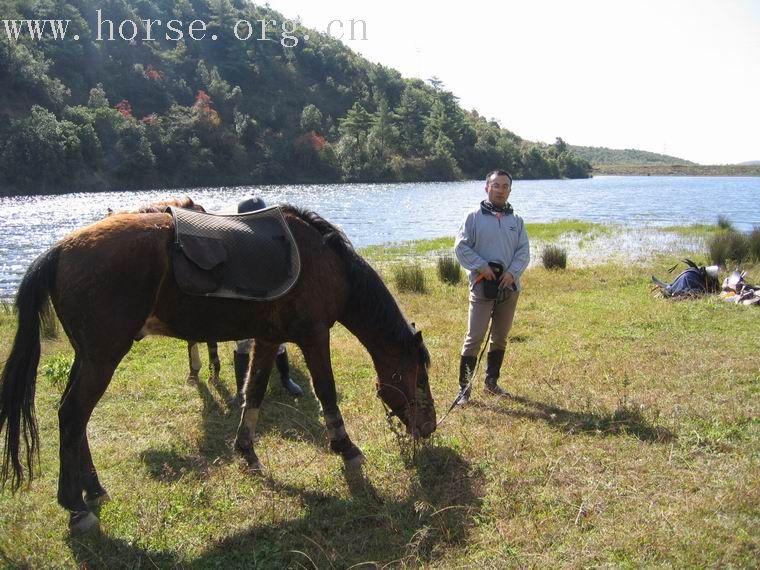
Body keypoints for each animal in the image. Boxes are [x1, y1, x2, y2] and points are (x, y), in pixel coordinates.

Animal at [0, 203, 436, 532]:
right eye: (419, 375)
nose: (429, 426)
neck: (325, 261)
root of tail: (60, 249)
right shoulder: (314, 336)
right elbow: (326, 391)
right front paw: (346, 447)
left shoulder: (268, 339)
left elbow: (253, 393)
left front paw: (246, 450)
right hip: (102, 357)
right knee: (72, 415)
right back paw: (75, 506)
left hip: (88, 357)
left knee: (75, 420)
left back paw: (93, 489)